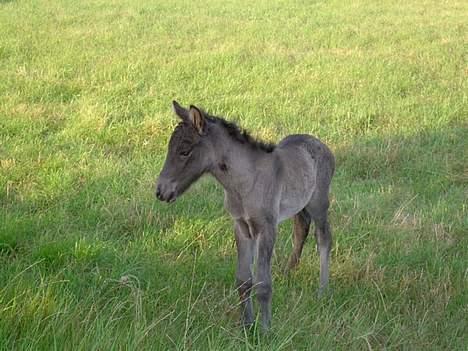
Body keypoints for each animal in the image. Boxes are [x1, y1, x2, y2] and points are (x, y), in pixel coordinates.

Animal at [157, 101, 336, 330]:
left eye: (185, 151)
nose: (161, 191)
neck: (245, 182)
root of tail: (320, 144)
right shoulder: (241, 226)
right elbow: (243, 280)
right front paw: (247, 325)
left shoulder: (266, 228)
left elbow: (263, 283)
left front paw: (266, 329)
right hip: (300, 205)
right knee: (300, 230)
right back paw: (288, 273)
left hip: (318, 204)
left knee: (323, 239)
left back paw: (323, 290)